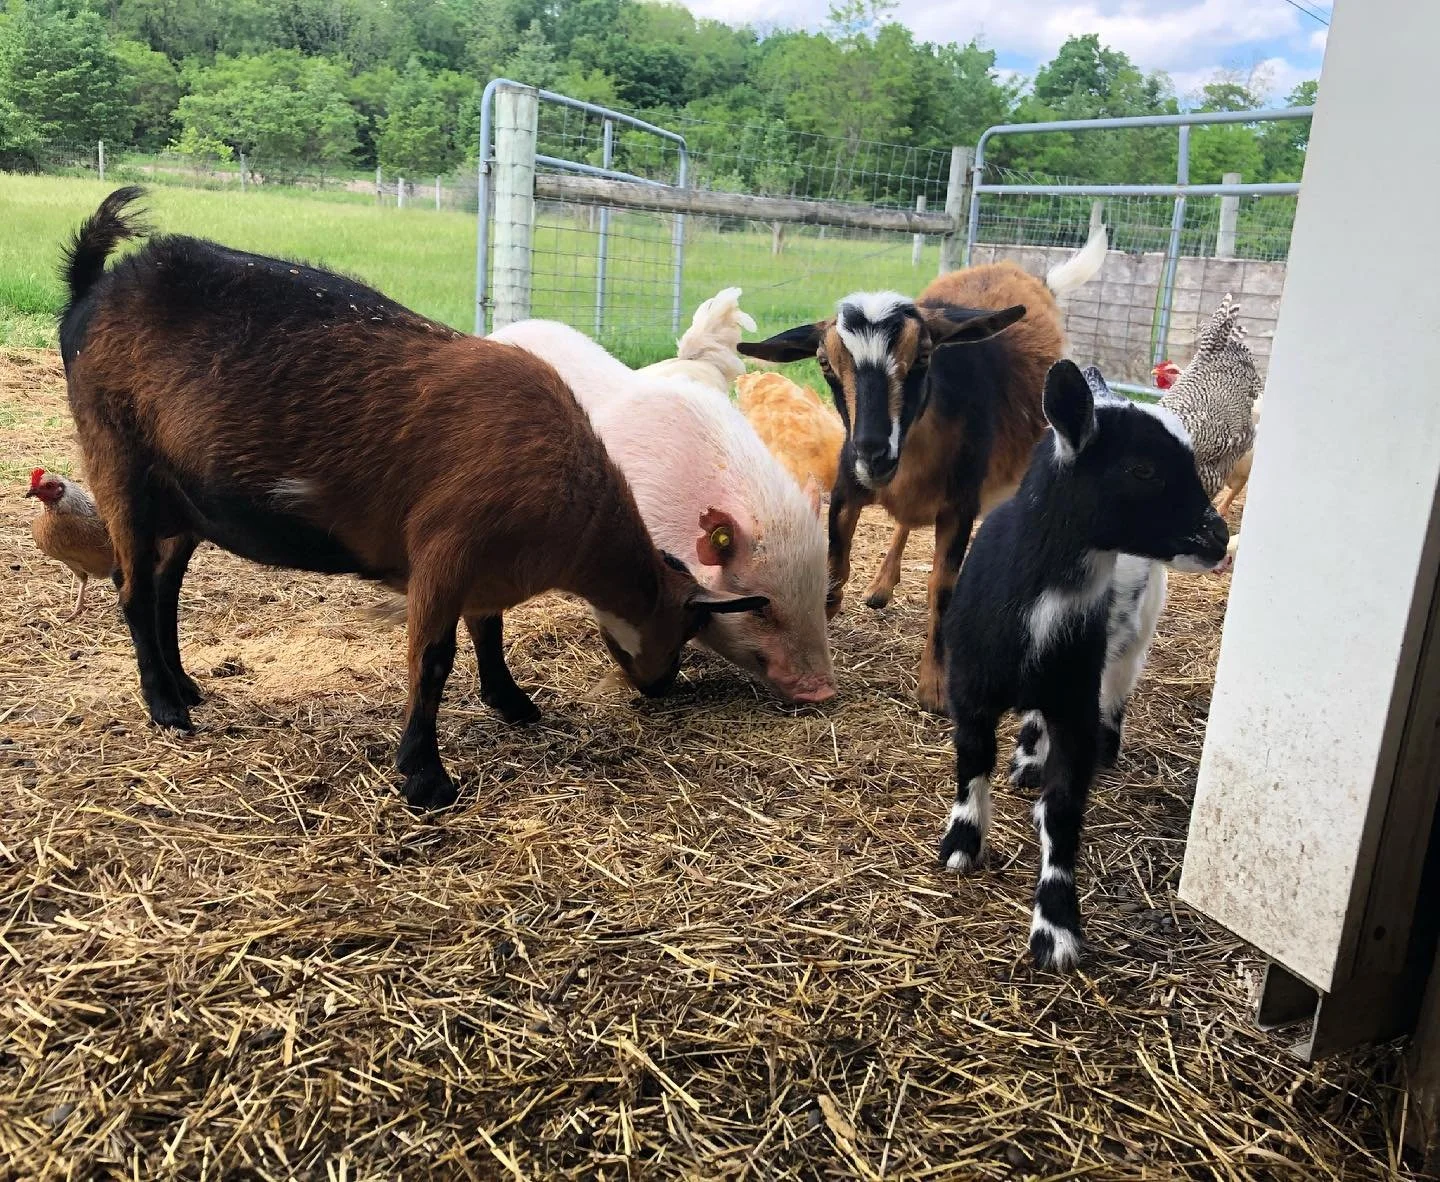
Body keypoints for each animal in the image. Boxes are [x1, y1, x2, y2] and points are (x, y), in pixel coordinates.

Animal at [58, 188, 763, 809]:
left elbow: (489, 631)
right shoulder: (445, 554)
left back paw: (186, 687)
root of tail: (93, 288)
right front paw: (425, 776)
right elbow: (433, 659)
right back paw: (166, 707)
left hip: (184, 501)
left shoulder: (484, 569)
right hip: (116, 459)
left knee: (163, 587)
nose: (661, 688)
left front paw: (511, 702)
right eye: (688, 627)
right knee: (133, 588)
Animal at [739, 226, 1108, 713]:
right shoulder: (846, 489)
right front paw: (820, 627)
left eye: (924, 355)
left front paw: (934, 686)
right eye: (824, 363)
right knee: (905, 523)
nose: (873, 454)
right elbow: (835, 567)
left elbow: (942, 590)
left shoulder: (960, 505)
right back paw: (880, 587)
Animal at [937, 360, 1227, 970]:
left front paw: (1056, 927)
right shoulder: (968, 690)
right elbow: (972, 763)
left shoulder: (1074, 699)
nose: (1218, 538)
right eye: (1141, 468)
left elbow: (1064, 810)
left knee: (1116, 693)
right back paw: (1027, 759)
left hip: (1131, 641)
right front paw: (961, 844)